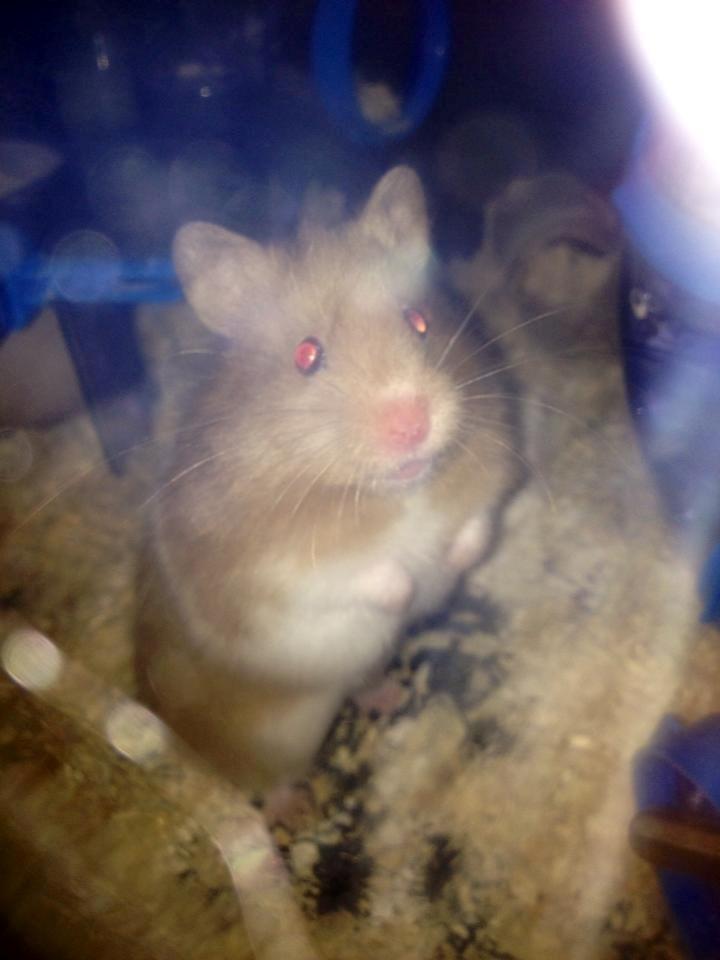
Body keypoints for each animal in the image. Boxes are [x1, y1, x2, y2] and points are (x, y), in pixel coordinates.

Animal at [135, 166, 518, 792]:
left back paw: (389, 697)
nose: (412, 424)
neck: (395, 490)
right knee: (269, 786)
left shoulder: (489, 475)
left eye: (420, 321)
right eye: (307, 355)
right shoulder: (277, 575)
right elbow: (360, 574)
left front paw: (453, 562)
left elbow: (477, 525)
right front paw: (408, 589)